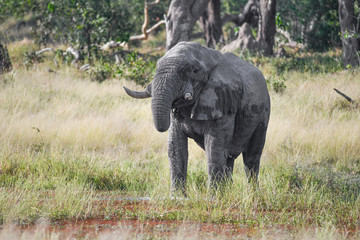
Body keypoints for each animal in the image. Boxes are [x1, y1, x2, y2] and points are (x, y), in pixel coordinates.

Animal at [124, 41, 270, 193]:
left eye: (194, 71)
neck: (207, 55)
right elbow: (176, 148)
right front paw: (177, 196)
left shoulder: (224, 102)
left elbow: (214, 150)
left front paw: (214, 197)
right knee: (229, 158)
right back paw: (229, 191)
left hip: (263, 113)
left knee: (251, 158)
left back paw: (253, 194)